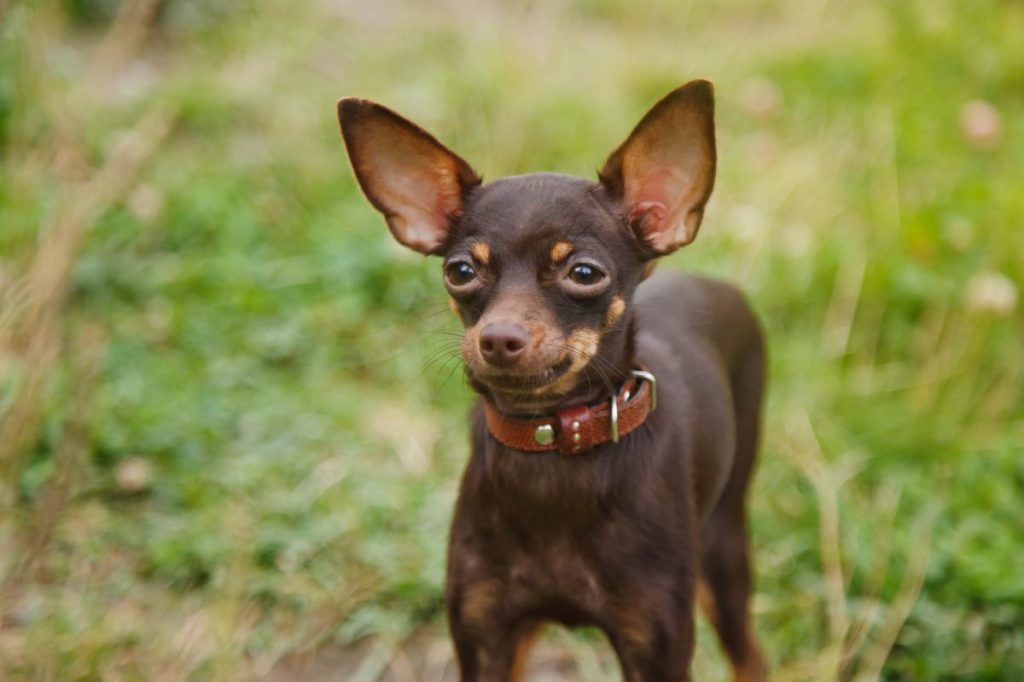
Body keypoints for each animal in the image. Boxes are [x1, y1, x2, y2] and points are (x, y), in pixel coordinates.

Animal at [339, 80, 765, 679]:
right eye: (459, 271)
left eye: (583, 273)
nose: (498, 337)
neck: (551, 444)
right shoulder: (484, 635)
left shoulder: (656, 646)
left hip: (723, 551)